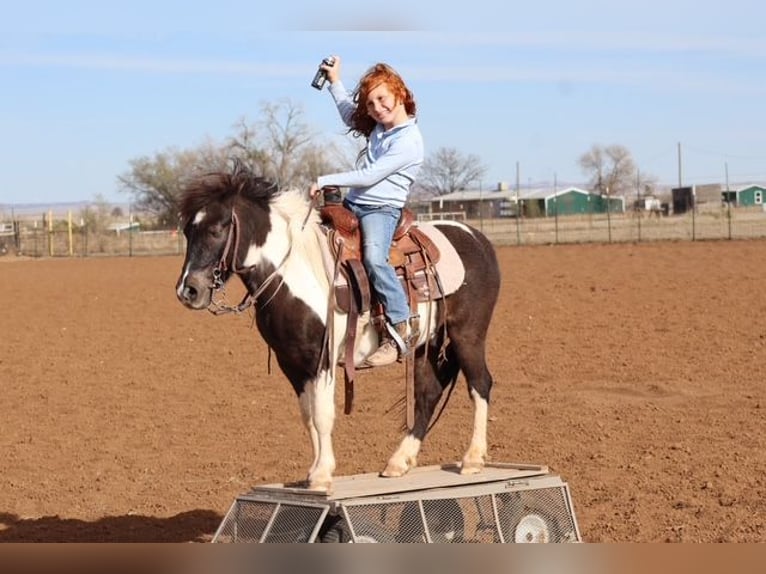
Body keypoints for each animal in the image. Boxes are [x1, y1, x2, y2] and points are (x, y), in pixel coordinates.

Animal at [175, 163, 501, 490]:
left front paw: (322, 475)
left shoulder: (323, 359)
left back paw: (472, 459)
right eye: (188, 231)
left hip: (468, 334)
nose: (188, 291)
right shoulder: (291, 363)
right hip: (427, 344)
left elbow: (322, 415)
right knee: (428, 394)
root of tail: (478, 239)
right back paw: (399, 461)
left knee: (479, 384)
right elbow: (308, 416)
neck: (295, 272)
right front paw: (313, 473)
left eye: (216, 230)